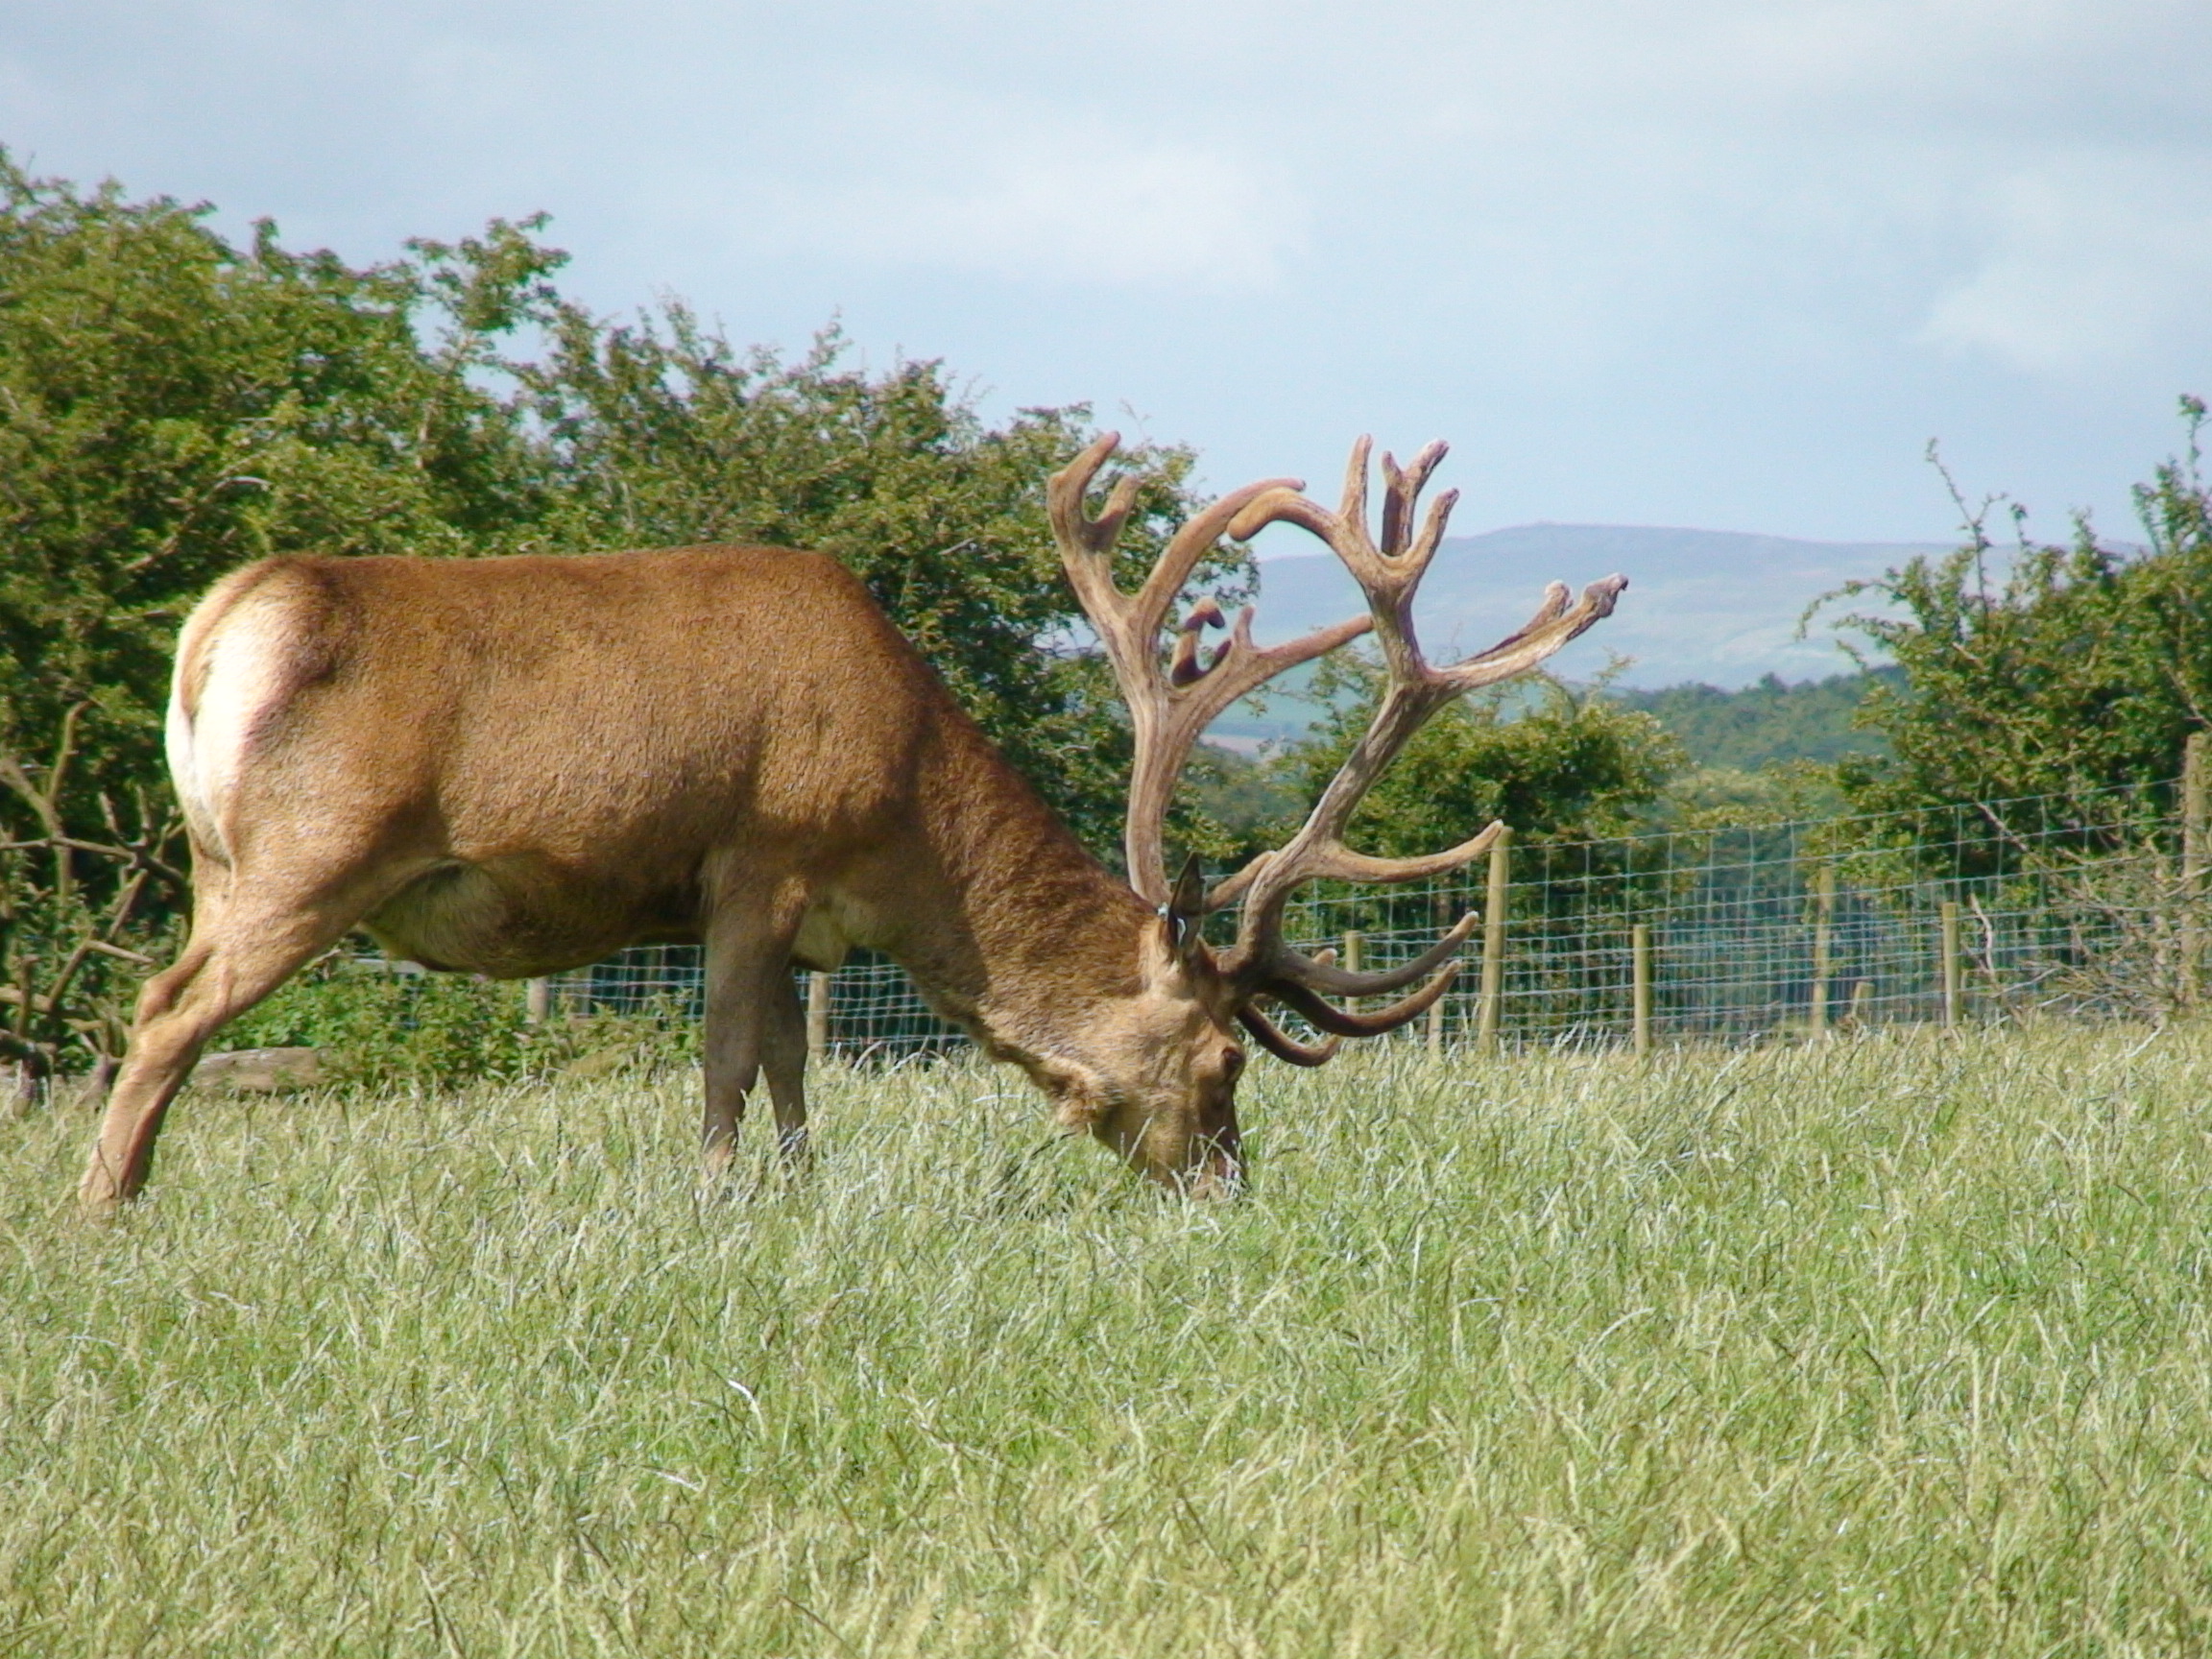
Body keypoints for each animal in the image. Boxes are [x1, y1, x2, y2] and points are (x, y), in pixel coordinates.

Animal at [76, 433, 1623, 1215]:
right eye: (1223, 1062)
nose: (1234, 1192)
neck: (901, 823)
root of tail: (222, 622)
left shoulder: (807, 920)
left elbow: (790, 1074)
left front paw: (801, 1205)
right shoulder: (757, 853)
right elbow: (723, 1068)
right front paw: (712, 1214)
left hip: (224, 860)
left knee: (162, 1009)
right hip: (311, 855)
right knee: (162, 1013)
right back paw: (105, 1212)